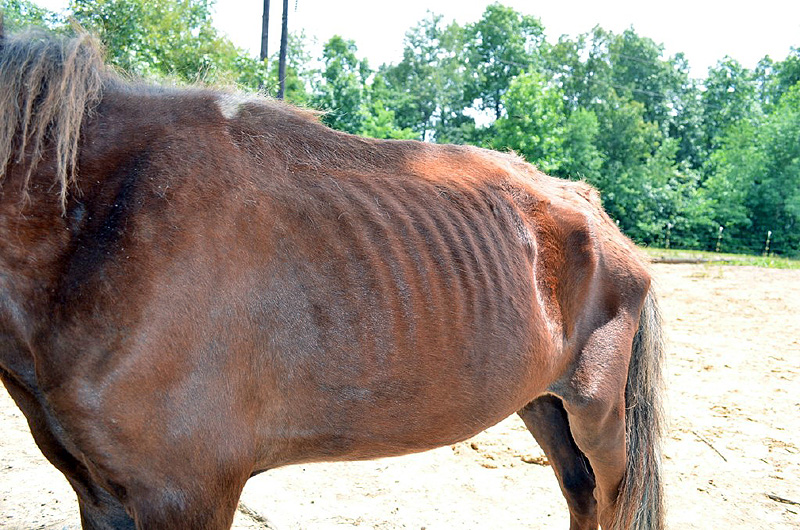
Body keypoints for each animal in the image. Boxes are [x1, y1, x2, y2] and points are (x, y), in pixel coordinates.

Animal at [0, 26, 665, 530]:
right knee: (579, 493)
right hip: (542, 401)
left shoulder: (185, 492)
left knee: (608, 497)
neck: (102, 225)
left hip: (596, 416)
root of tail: (591, 207)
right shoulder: (100, 493)